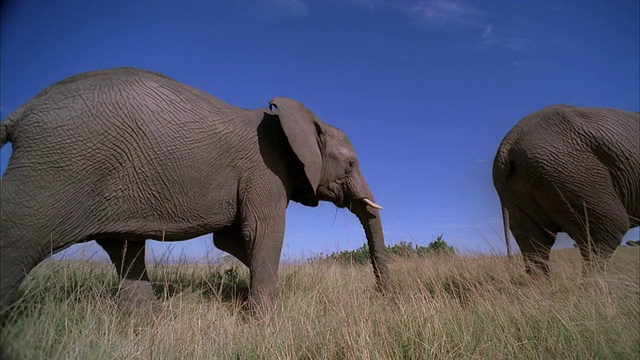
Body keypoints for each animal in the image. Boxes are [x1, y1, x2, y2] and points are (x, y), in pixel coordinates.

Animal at [1, 68, 390, 320]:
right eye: (351, 164)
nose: (381, 296)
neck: (299, 119)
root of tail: (22, 111)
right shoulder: (265, 170)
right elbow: (262, 233)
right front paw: (266, 323)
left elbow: (231, 239)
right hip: (56, 168)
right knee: (19, 238)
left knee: (124, 248)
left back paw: (153, 322)